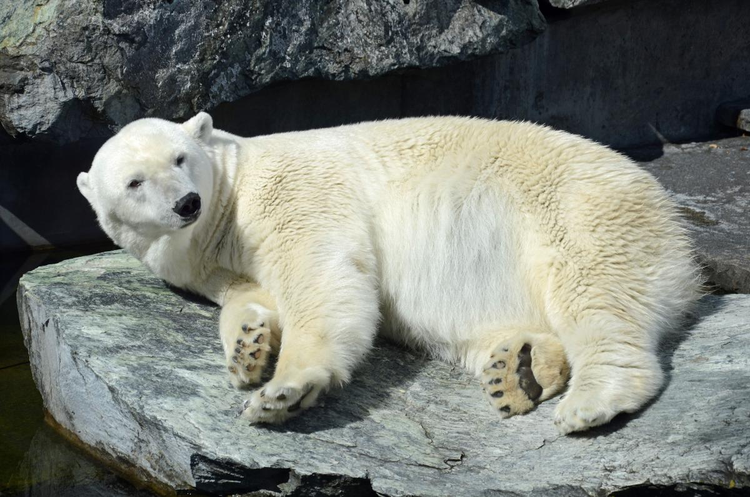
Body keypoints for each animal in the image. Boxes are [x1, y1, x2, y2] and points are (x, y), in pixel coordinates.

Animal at [76, 113, 701, 434]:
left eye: (180, 158)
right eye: (134, 182)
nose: (186, 203)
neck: (227, 199)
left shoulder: (291, 191)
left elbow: (320, 273)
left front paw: (283, 393)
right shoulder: (209, 260)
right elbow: (248, 293)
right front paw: (248, 350)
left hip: (580, 212)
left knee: (594, 292)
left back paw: (591, 399)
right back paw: (516, 369)